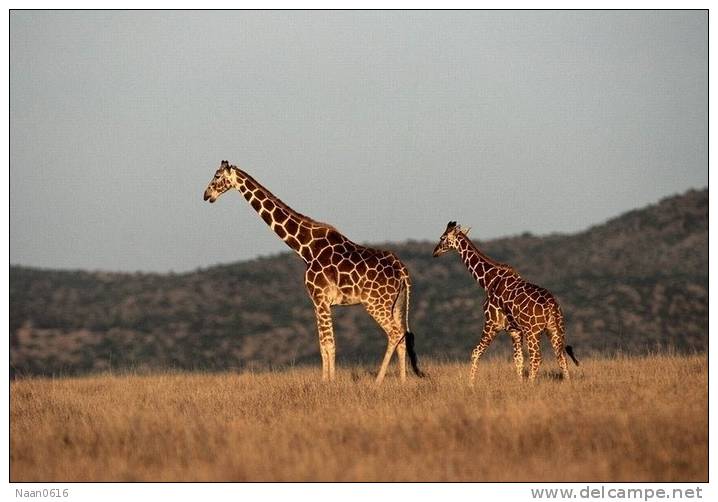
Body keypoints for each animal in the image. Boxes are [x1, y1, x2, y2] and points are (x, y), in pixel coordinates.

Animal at [202, 161, 424, 384]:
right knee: (403, 335)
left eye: (217, 176)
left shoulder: (320, 298)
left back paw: (378, 381)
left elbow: (329, 344)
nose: (206, 194)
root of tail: (402, 270)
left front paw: (330, 382)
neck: (305, 248)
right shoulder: (318, 302)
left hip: (375, 303)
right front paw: (325, 380)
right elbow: (323, 344)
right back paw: (403, 381)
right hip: (396, 303)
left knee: (394, 333)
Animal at [434, 223, 580, 384]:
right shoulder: (514, 330)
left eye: (442, 237)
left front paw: (470, 385)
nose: (435, 252)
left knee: (537, 358)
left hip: (533, 331)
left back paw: (532, 385)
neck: (488, 282)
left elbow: (475, 352)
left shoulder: (492, 323)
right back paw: (567, 383)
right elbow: (518, 359)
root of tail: (551, 306)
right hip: (555, 328)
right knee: (561, 356)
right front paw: (520, 384)